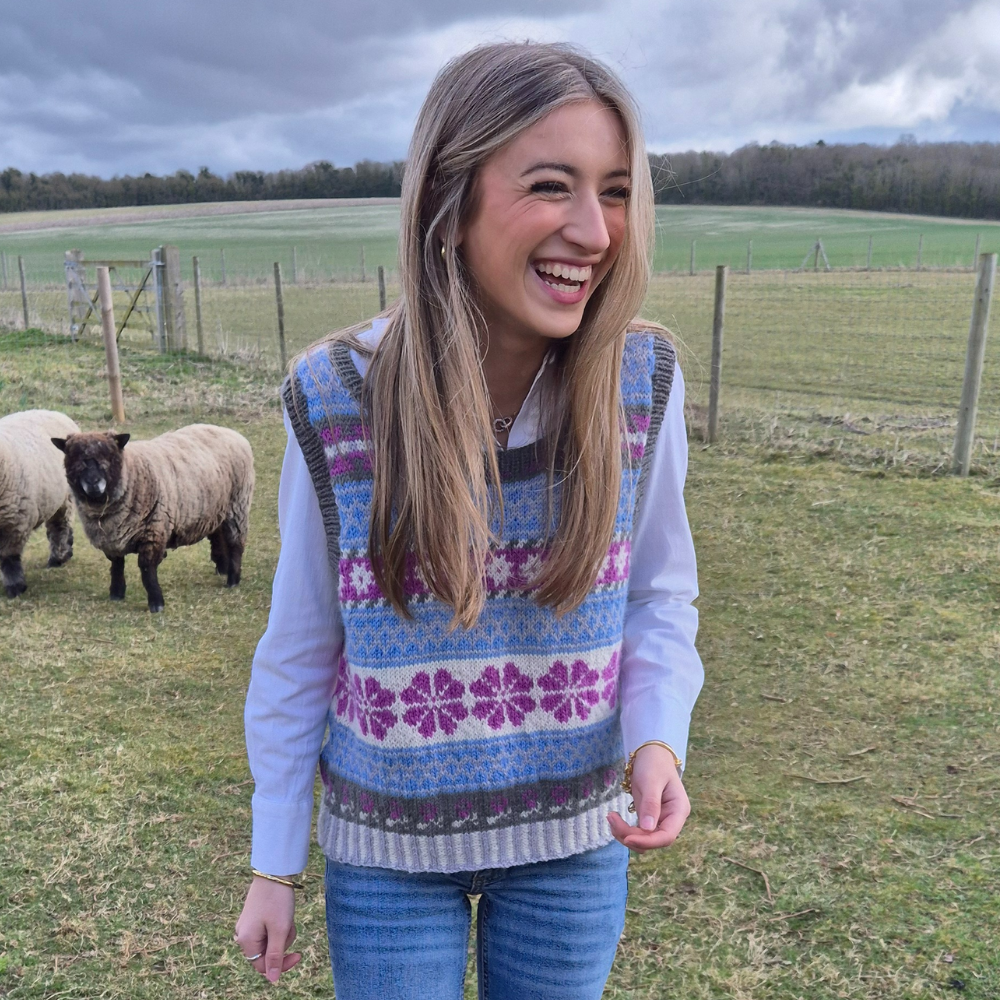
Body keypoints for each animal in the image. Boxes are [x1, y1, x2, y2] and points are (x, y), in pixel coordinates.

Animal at [0, 409, 80, 597]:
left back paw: (58, 558)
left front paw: (15, 587)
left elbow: (9, 558)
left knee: (60, 528)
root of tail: (55, 412)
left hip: (65, 498)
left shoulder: (14, 523)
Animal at [53, 424, 254, 613]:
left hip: (237, 505)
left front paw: (156, 603)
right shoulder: (112, 538)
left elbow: (147, 570)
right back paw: (222, 569)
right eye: (74, 459)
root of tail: (230, 432)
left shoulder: (153, 530)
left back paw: (233, 579)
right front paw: (117, 593)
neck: (130, 475)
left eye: (109, 456)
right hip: (216, 509)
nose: (93, 483)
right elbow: (117, 565)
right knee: (218, 536)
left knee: (235, 543)